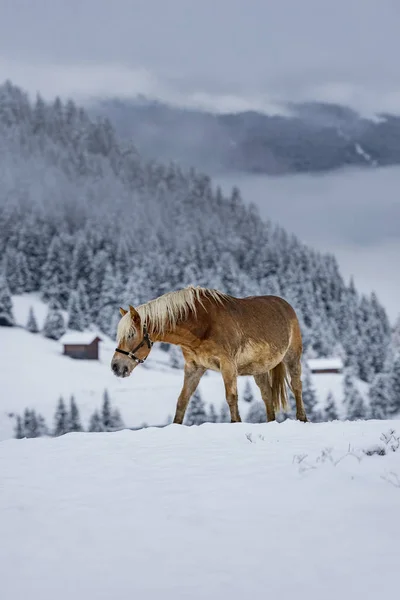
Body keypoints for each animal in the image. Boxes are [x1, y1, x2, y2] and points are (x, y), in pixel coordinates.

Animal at [111, 284, 308, 422]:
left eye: (130, 334)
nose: (116, 366)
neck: (202, 323)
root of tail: (286, 305)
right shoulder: (194, 367)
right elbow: (182, 400)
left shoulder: (228, 366)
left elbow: (231, 398)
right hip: (258, 368)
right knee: (267, 394)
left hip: (292, 357)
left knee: (297, 386)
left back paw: (302, 419)